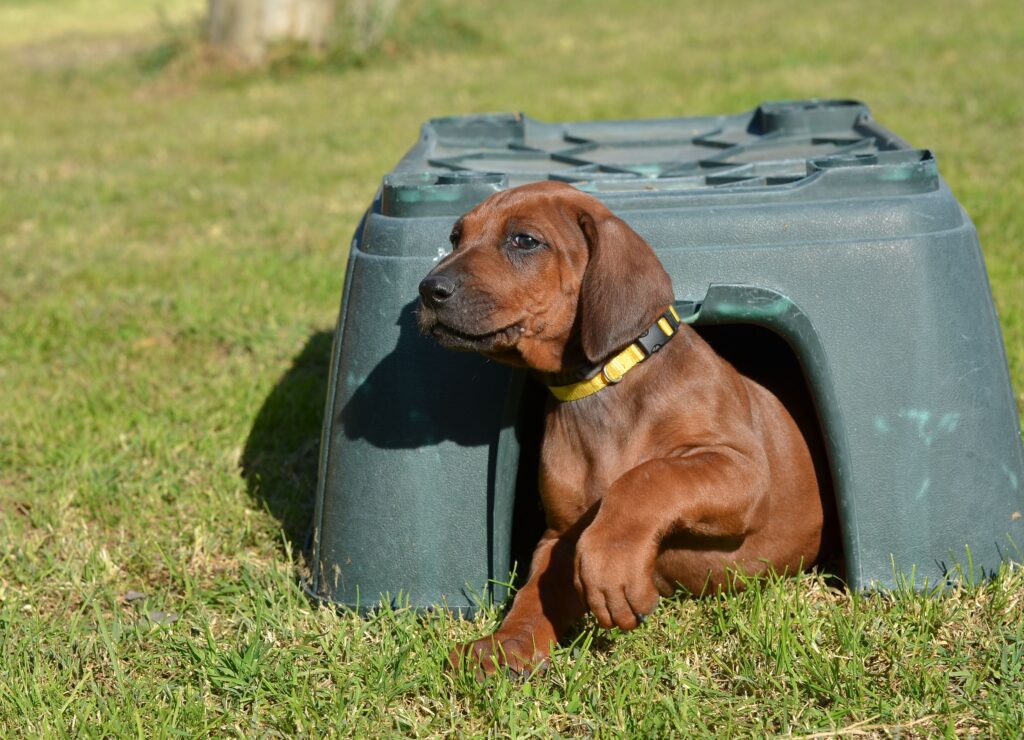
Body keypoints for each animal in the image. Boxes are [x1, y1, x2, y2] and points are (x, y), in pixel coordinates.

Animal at [413, 181, 823, 675]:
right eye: (456, 238)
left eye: (524, 241)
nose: (428, 290)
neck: (601, 385)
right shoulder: (560, 533)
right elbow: (536, 590)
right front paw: (507, 644)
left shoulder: (741, 469)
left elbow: (648, 477)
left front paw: (612, 567)